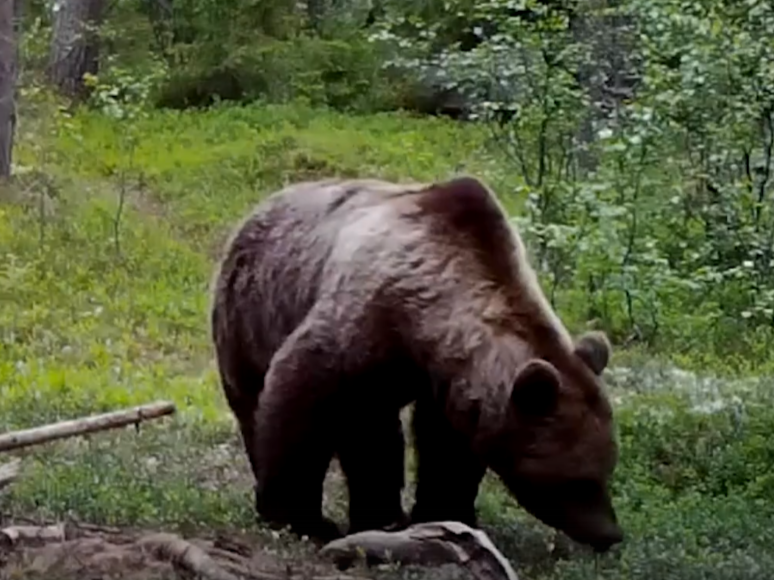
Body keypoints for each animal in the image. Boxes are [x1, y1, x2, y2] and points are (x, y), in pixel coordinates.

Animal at [210, 175, 623, 553]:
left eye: (607, 468)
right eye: (578, 480)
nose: (609, 534)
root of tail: (264, 204)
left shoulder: (449, 382)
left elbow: (446, 448)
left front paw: (446, 513)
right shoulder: (359, 331)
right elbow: (299, 399)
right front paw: (300, 518)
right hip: (252, 308)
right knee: (255, 400)